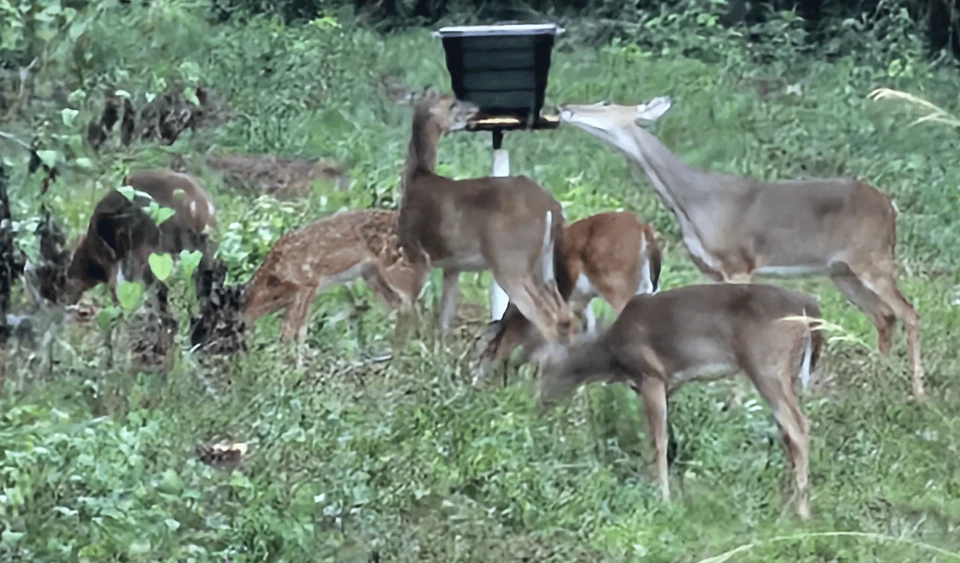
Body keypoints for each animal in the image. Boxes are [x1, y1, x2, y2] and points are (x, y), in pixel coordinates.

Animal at [241, 208, 430, 366]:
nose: (243, 361)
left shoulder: (307, 283)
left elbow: (289, 330)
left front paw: (281, 368)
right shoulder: (307, 294)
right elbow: (301, 331)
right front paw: (298, 368)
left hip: (397, 268)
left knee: (413, 306)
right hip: (372, 274)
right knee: (405, 307)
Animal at [397, 88, 575, 352]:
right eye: (451, 104)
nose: (475, 108)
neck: (417, 177)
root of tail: (552, 208)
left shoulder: (414, 252)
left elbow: (407, 306)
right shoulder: (452, 265)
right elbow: (445, 316)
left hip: (510, 260)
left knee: (545, 316)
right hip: (544, 263)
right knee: (564, 313)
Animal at [473, 210, 662, 381]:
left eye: (486, 350)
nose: (475, 377)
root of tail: (643, 227)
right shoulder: (580, 302)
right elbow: (587, 332)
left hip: (617, 286)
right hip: (645, 286)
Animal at [535, 282, 823, 520]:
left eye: (542, 367)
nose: (538, 403)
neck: (613, 358)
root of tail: (811, 308)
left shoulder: (651, 375)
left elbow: (659, 441)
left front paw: (663, 498)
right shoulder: (666, 386)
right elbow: (655, 439)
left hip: (766, 366)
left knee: (798, 427)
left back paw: (803, 511)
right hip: (788, 374)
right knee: (788, 431)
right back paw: (788, 503)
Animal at [558, 96, 924, 399]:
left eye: (606, 103)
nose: (565, 108)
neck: (692, 201)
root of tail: (890, 207)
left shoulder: (738, 263)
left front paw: (739, 400)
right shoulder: (709, 268)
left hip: (873, 258)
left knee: (908, 312)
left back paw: (917, 391)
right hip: (843, 271)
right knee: (884, 316)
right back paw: (878, 378)